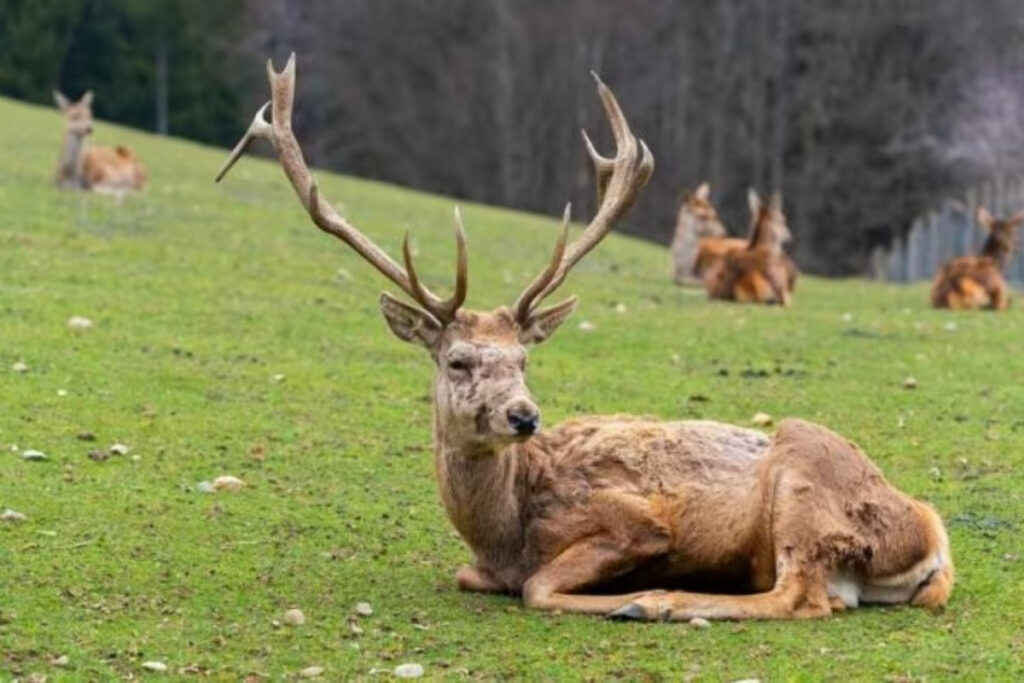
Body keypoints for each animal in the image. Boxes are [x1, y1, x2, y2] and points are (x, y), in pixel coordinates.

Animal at [216, 54, 953, 621]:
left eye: (523, 357)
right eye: (458, 360)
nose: (523, 414)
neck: (503, 529)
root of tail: (933, 535)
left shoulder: (635, 520)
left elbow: (540, 586)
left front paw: (626, 593)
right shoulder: (482, 563)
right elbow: (471, 575)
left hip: (805, 478)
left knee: (800, 596)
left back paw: (655, 602)